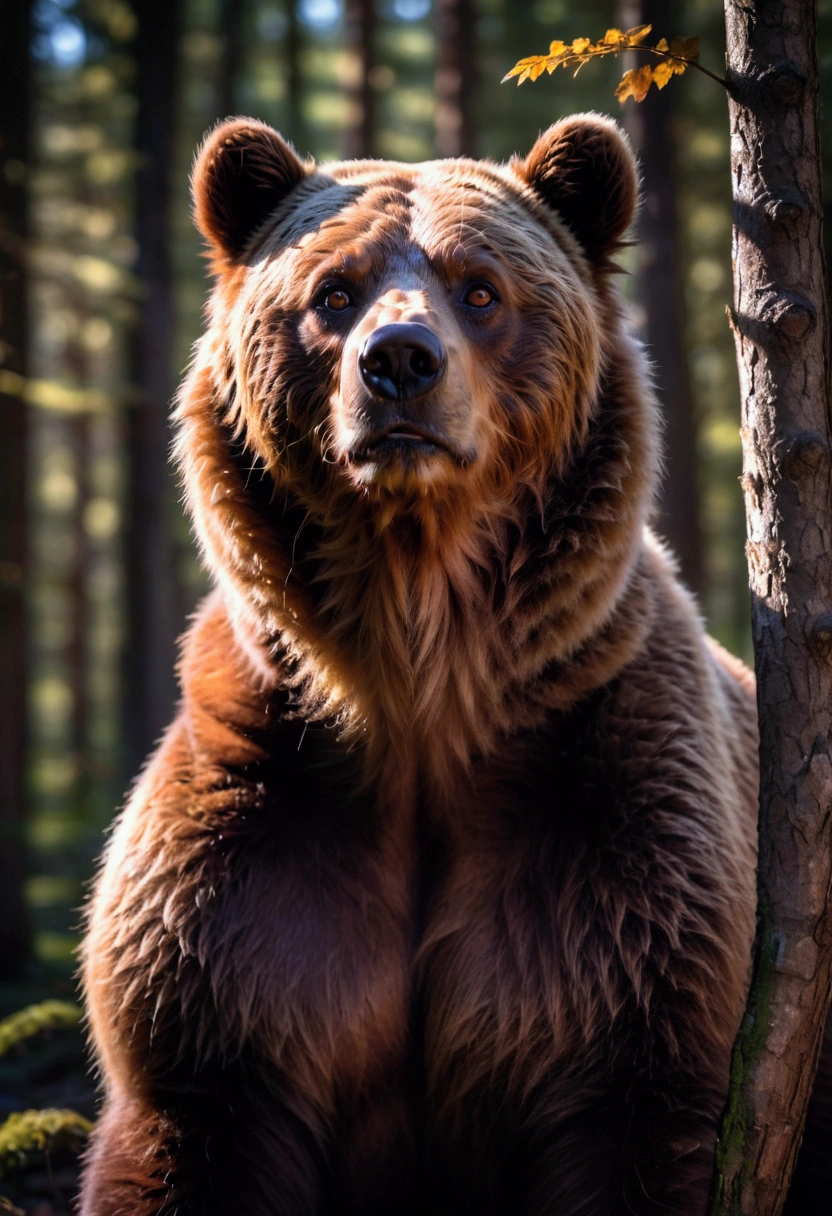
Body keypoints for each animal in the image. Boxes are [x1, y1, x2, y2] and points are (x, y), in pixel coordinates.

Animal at [77, 116, 759, 1216]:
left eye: (480, 288)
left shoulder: (612, 857)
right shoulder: (253, 864)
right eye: (332, 291)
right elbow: (195, 1110)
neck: (419, 682)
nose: (399, 360)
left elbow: (635, 1100)